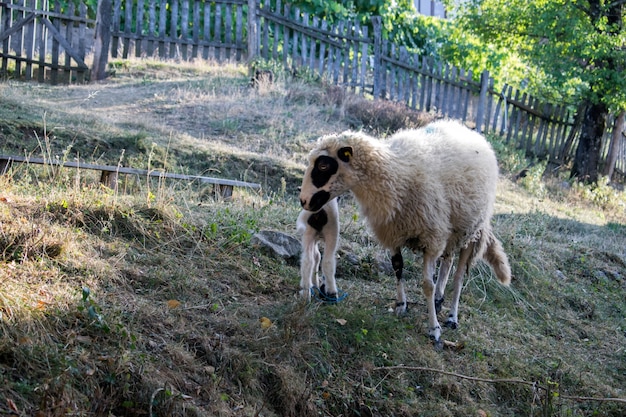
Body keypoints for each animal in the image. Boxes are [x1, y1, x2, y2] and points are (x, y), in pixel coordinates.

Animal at [300, 118, 510, 346]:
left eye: (323, 165)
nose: (303, 201)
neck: (395, 174)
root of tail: (467, 130)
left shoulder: (432, 238)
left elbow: (427, 284)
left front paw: (434, 329)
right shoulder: (393, 233)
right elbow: (398, 269)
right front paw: (402, 305)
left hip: (471, 231)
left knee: (459, 276)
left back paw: (452, 317)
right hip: (451, 231)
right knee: (447, 261)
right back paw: (439, 300)